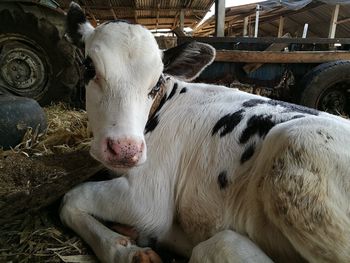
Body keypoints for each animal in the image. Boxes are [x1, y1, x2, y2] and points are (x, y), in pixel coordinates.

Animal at [60, 2, 350, 263]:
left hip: (295, 147)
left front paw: (127, 252)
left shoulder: (145, 198)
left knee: (218, 245)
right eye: (89, 68)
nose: (125, 150)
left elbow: (71, 197)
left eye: (157, 83)